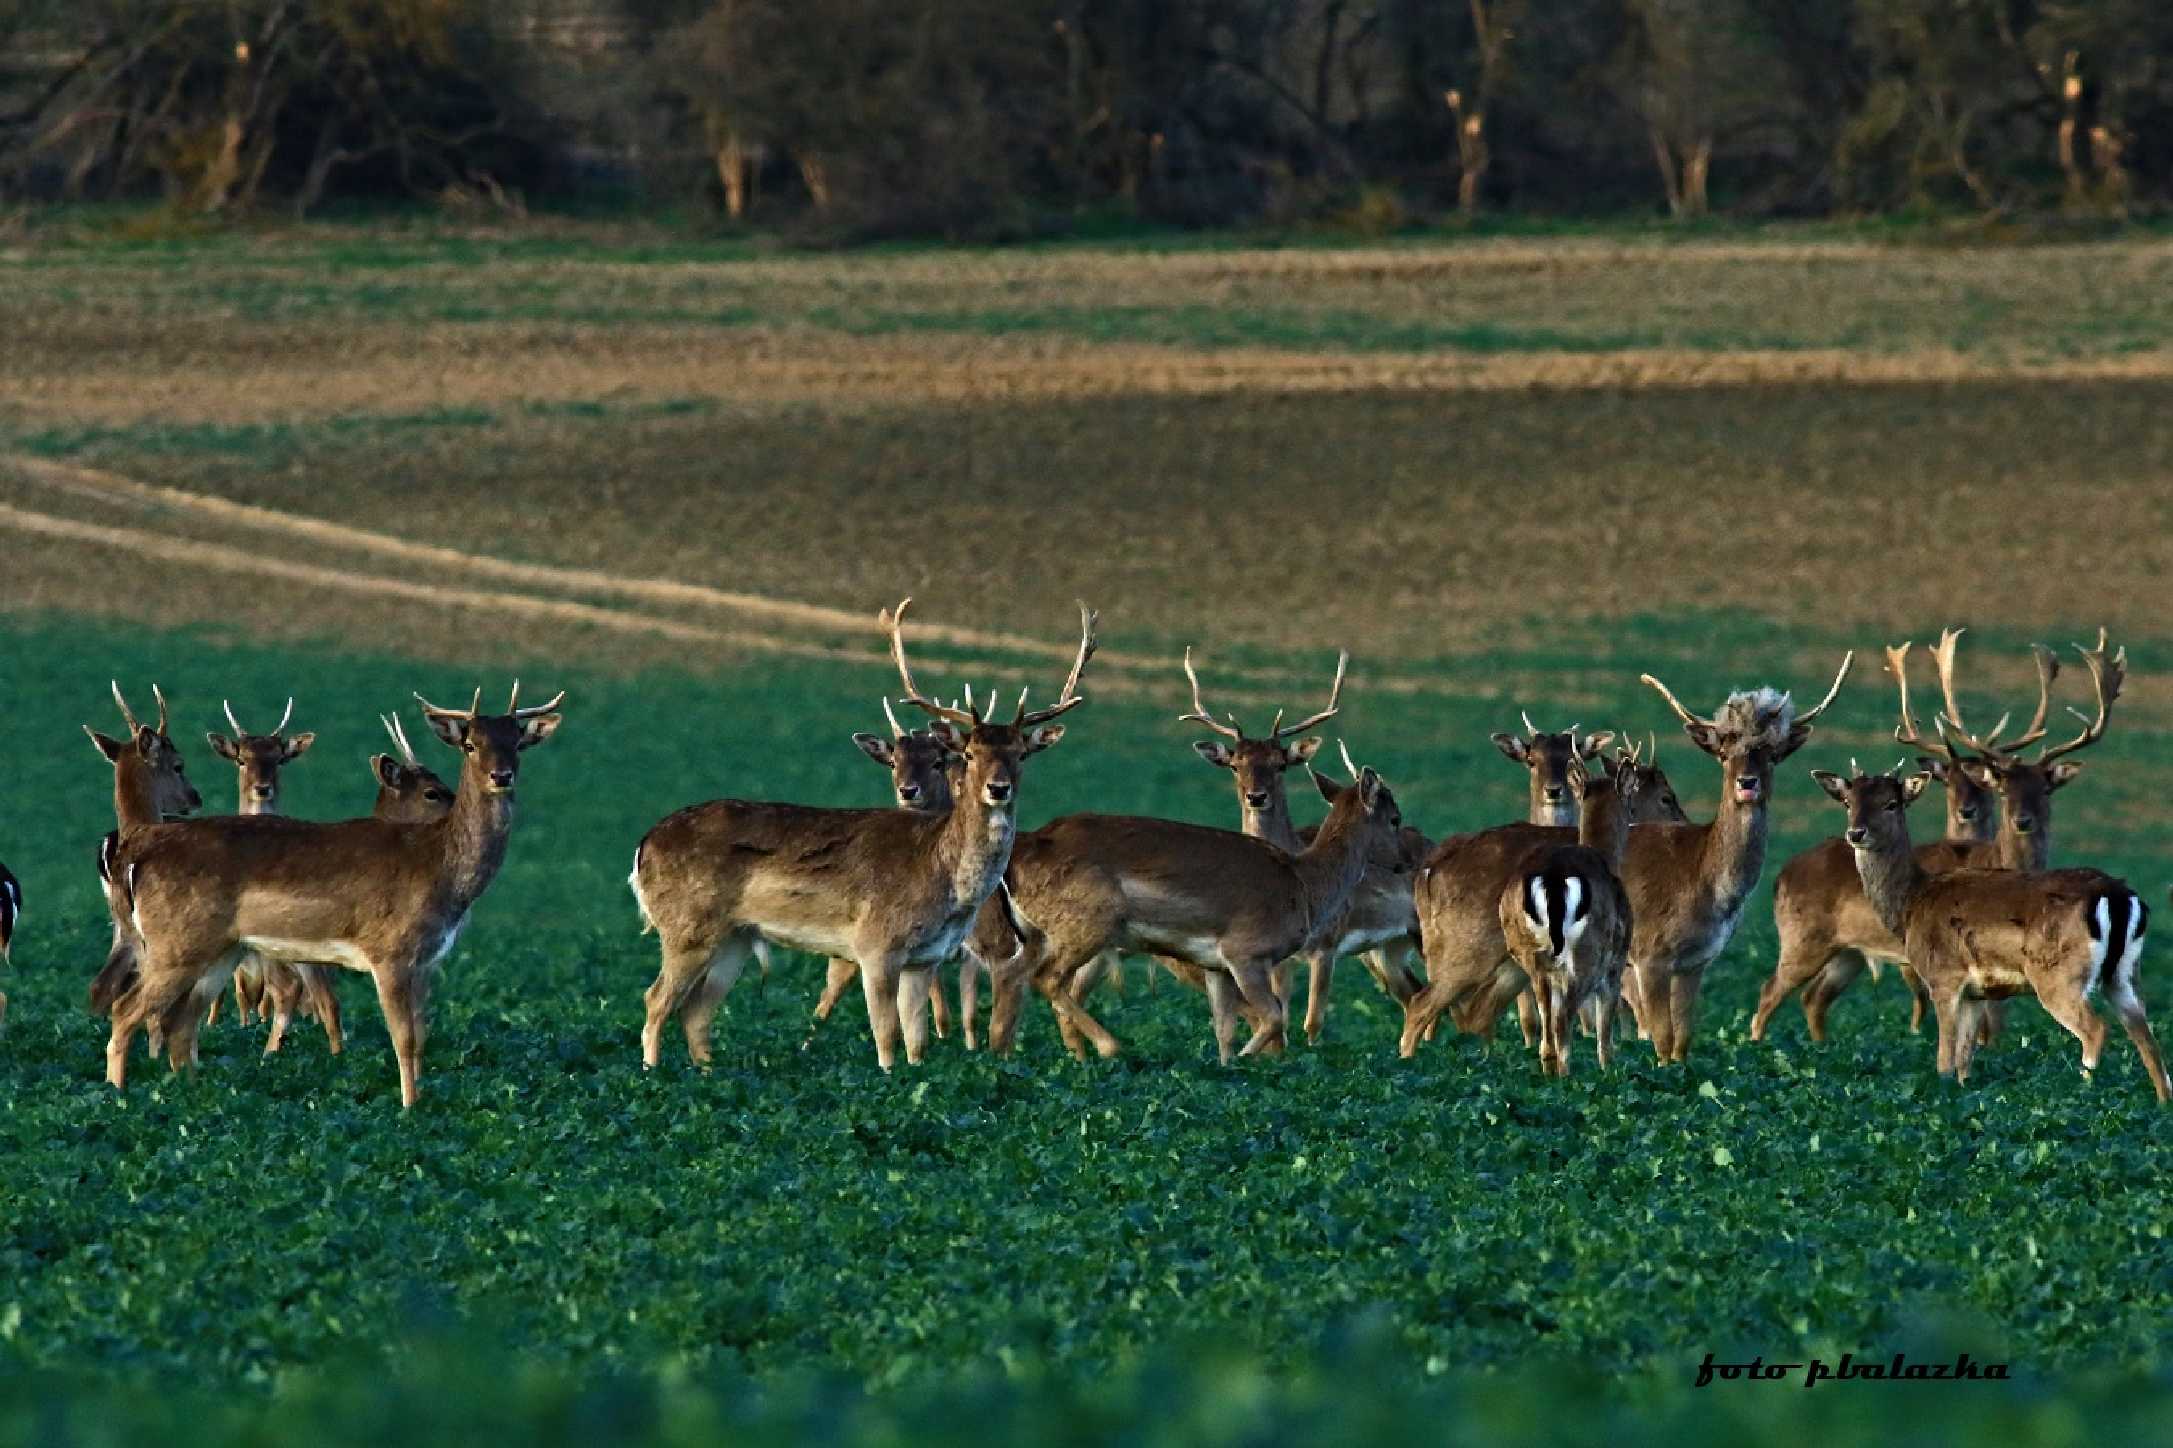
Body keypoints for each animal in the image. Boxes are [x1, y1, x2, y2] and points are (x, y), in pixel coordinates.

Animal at [102, 682, 564, 1100]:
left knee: (180, 1024)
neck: (441, 869)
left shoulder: (427, 961)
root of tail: (138, 857)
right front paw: (409, 1110)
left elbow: (422, 1037)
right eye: (469, 743)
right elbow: (403, 1039)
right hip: (174, 943)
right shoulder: (389, 951)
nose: (500, 775)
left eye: (517, 743)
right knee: (125, 1011)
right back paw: (116, 1096)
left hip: (220, 951)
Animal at [634, 591, 1095, 1065]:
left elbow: (917, 1041)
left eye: (1021, 753)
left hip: (735, 937)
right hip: (687, 926)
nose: (998, 788)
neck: (944, 880)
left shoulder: (924, 959)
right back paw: (653, 1073)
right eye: (968, 754)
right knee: (656, 1000)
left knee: (695, 1012)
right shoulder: (875, 945)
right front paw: (888, 1074)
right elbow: (887, 1038)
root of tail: (643, 846)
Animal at [1503, 743, 1634, 1069]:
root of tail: (1553, 878)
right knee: (1563, 1023)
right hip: (1587, 952)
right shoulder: (1616, 959)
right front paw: (1609, 1070)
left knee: (1548, 1029)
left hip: (1530, 953)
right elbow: (1604, 1030)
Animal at [1816, 756, 2155, 1095]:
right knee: (2147, 1034)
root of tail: (2118, 895)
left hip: (2059, 976)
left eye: (1891, 803)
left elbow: (1945, 1061)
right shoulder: (1977, 993)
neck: (1912, 903)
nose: (1856, 833)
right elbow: (1965, 1059)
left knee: (2096, 1029)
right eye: (1848, 802)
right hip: (2127, 973)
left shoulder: (1944, 978)